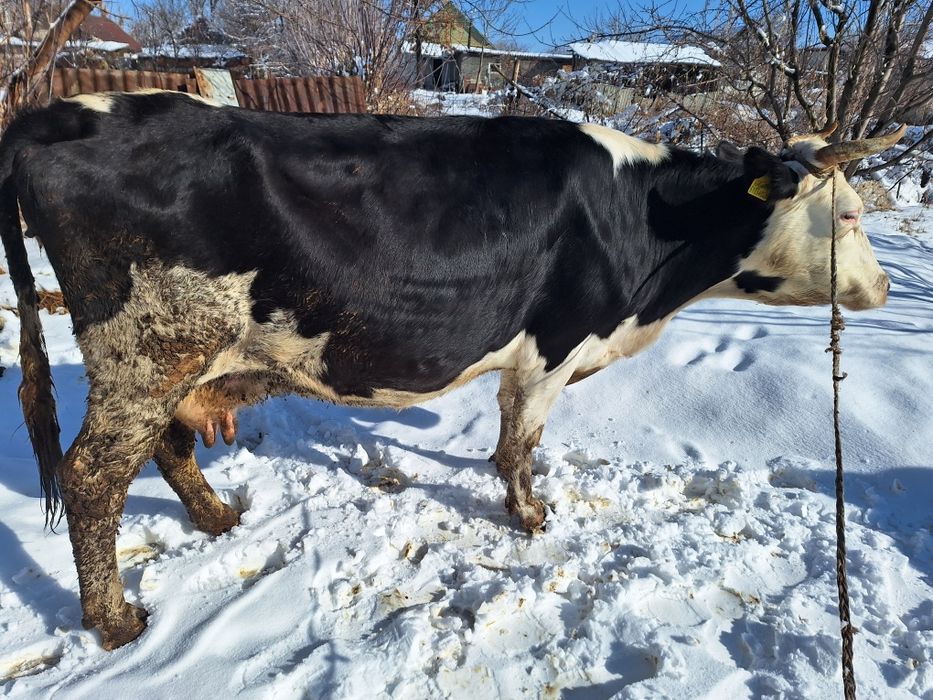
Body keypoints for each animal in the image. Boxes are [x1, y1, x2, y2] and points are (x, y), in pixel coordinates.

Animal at [0, 90, 900, 649]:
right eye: (850, 216)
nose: (889, 287)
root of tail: (55, 112)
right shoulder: (553, 344)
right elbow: (520, 443)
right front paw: (530, 517)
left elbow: (507, 436)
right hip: (148, 348)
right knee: (92, 475)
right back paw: (116, 620)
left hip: (173, 360)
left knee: (166, 444)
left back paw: (218, 519)